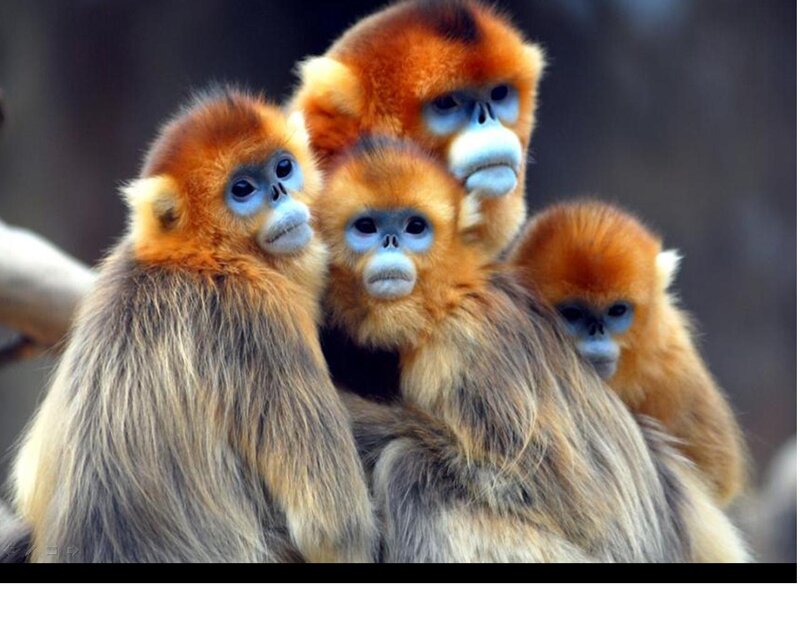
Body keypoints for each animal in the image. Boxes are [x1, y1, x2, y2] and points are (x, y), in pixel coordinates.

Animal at [10, 89, 377, 563]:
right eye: (243, 190)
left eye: (283, 168)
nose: (280, 193)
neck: (201, 258)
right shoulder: (260, 313)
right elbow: (334, 528)